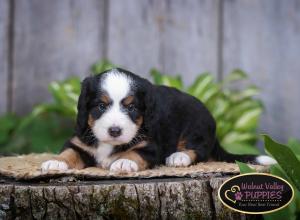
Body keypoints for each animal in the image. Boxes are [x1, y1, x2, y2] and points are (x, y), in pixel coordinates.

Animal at [40, 68, 276, 173]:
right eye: (100, 106)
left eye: (132, 107)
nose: (115, 130)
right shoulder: (79, 142)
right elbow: (69, 152)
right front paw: (56, 162)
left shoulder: (150, 147)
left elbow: (134, 152)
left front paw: (124, 161)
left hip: (196, 126)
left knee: (198, 151)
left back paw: (178, 157)